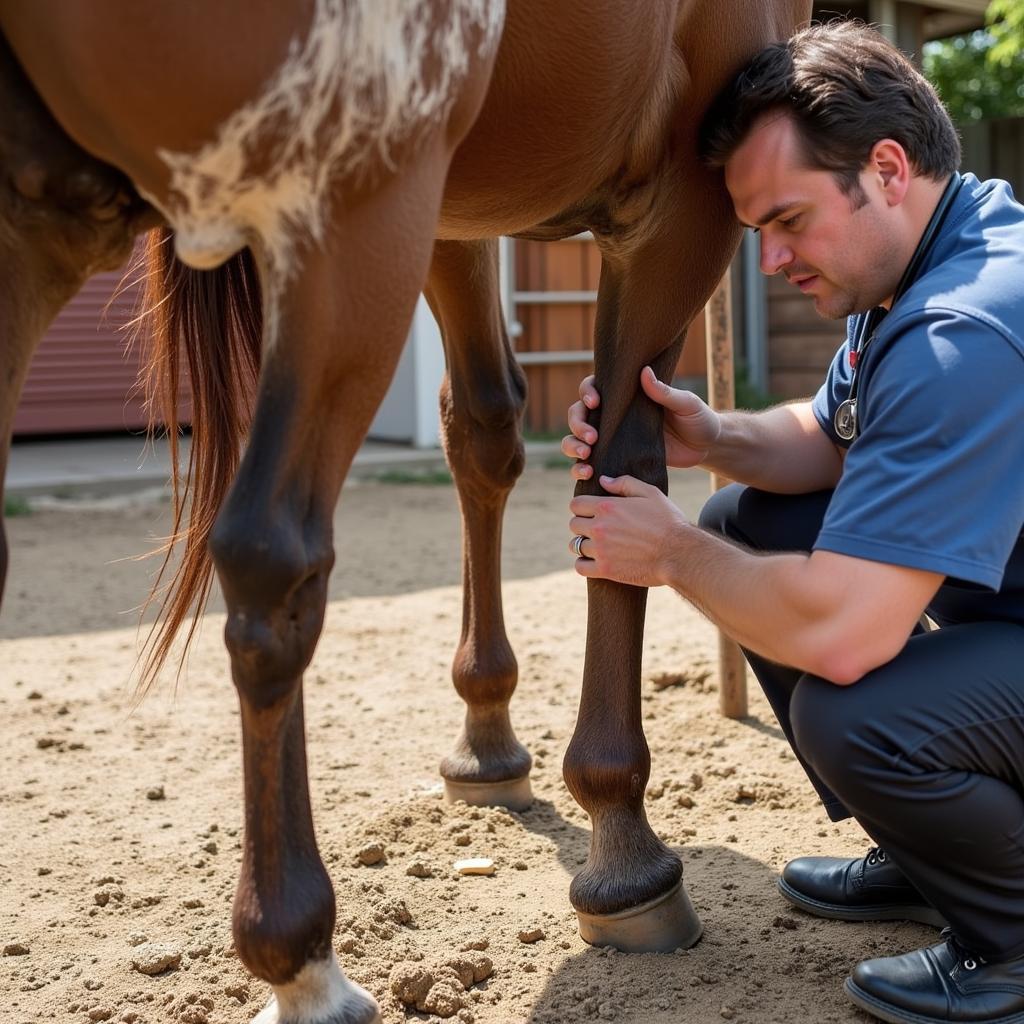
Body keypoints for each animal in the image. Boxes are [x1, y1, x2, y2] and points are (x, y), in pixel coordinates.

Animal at [2, 4, 806, 1019]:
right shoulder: (682, 201)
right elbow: (620, 476)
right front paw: (625, 848)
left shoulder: (454, 216)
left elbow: (487, 432)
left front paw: (487, 742)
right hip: (345, 215)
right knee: (273, 554)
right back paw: (302, 960)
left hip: (49, 222)